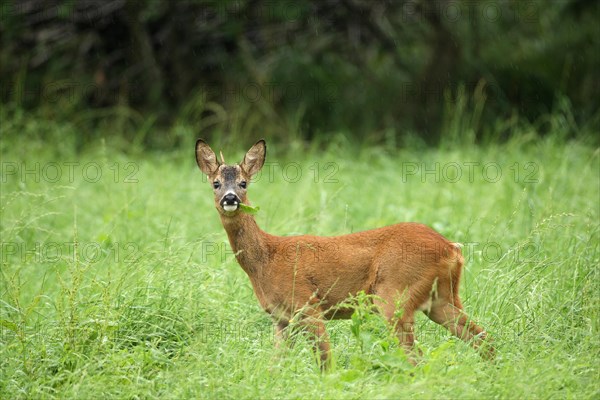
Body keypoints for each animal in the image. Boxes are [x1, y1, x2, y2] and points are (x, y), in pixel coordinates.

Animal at [195, 139, 494, 368]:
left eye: (244, 183)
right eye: (216, 183)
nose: (230, 198)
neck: (266, 260)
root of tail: (452, 248)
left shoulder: (308, 305)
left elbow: (326, 362)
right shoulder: (281, 318)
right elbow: (275, 366)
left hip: (395, 295)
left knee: (417, 357)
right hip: (441, 297)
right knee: (483, 338)